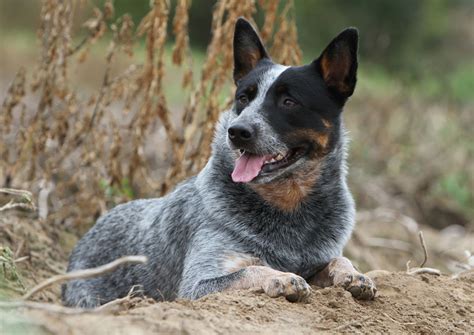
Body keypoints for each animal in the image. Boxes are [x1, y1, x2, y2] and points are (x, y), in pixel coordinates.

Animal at [63, 17, 376, 308]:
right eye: (243, 97)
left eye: (289, 101)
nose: (237, 131)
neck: (288, 208)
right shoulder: (198, 285)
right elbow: (252, 269)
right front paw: (283, 277)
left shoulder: (318, 258)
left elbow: (338, 260)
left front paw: (354, 274)